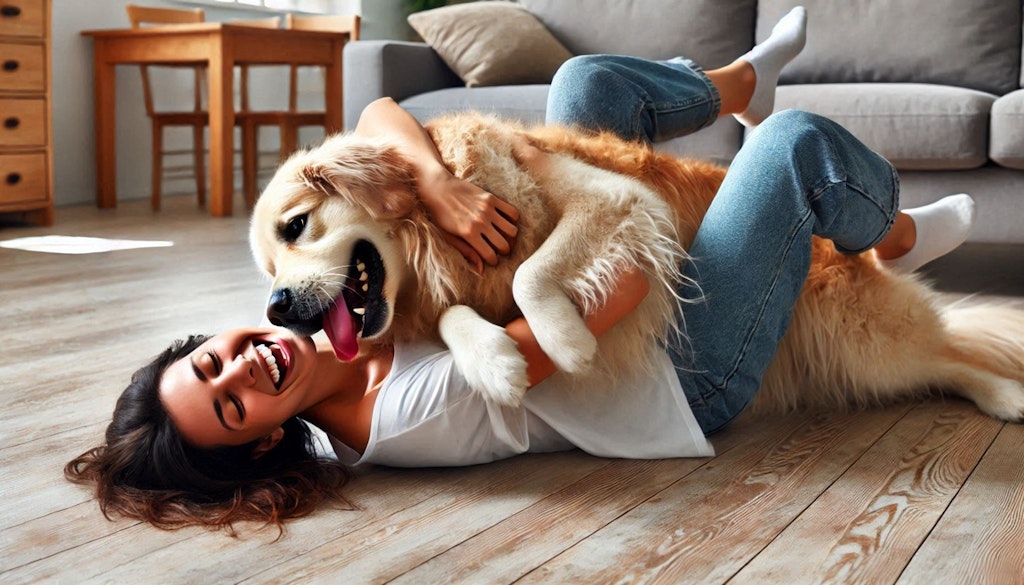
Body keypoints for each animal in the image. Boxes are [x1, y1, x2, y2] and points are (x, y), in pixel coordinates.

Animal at [249, 111, 1024, 422]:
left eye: (296, 225)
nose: (276, 307)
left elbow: (530, 275)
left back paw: (1005, 393)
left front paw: (566, 340)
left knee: (954, 351)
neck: (437, 237)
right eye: (265, 269)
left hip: (858, 336)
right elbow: (452, 320)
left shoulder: (620, 201)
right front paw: (496, 364)